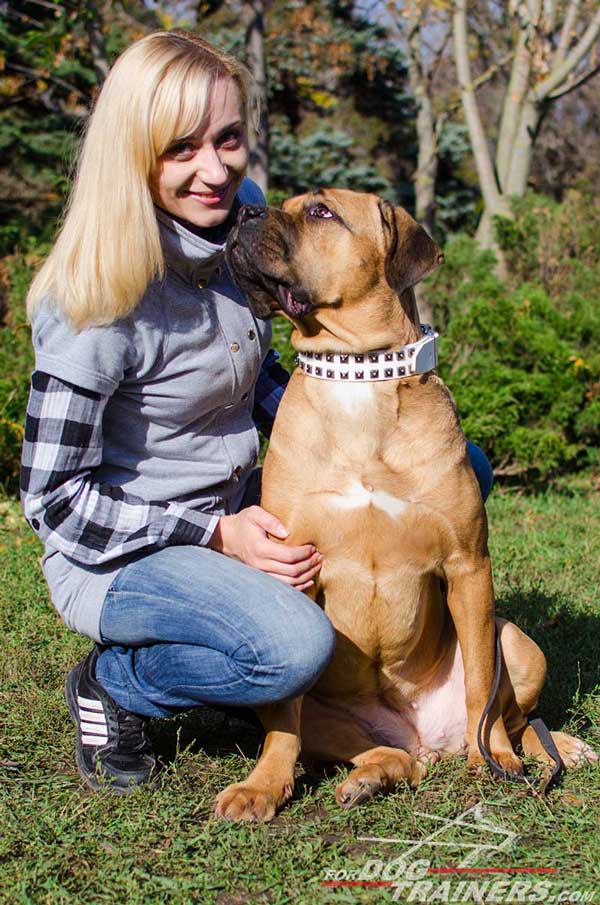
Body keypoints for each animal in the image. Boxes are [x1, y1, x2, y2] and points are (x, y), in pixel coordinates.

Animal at [214, 189, 596, 820]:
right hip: (331, 718)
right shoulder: (293, 567)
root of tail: (424, 738)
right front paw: (263, 785)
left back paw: (541, 749)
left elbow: (481, 689)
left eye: (320, 211)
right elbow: (284, 721)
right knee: (381, 753)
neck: (359, 376)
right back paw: (372, 775)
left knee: (513, 716)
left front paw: (495, 760)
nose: (242, 214)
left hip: (516, 640)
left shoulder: (469, 566)